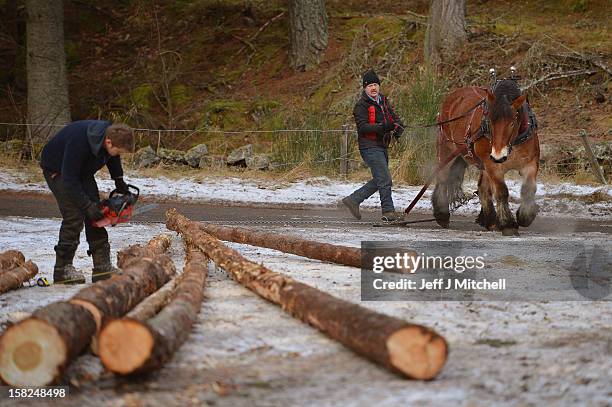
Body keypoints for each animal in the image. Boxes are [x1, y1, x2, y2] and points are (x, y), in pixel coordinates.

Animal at [430, 79, 540, 236]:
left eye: (512, 122)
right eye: (490, 122)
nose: (499, 156)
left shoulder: (530, 163)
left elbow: (529, 189)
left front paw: (525, 217)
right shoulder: (492, 165)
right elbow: (501, 192)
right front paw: (508, 224)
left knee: (482, 189)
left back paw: (491, 221)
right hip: (447, 150)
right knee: (443, 178)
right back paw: (442, 214)